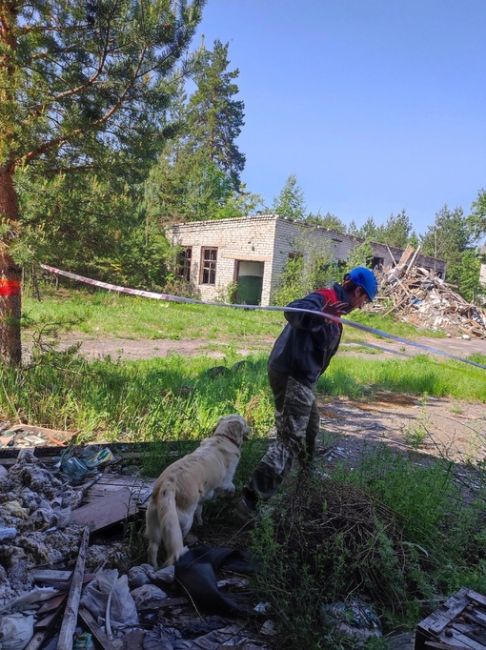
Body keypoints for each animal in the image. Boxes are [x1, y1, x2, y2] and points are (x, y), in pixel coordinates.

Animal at [144, 412, 249, 564]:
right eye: (245, 423)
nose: (251, 429)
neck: (223, 437)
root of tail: (167, 486)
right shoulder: (226, 481)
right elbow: (231, 487)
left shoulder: (202, 497)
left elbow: (200, 509)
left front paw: (201, 522)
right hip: (184, 521)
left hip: (155, 524)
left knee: (152, 548)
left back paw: (154, 566)